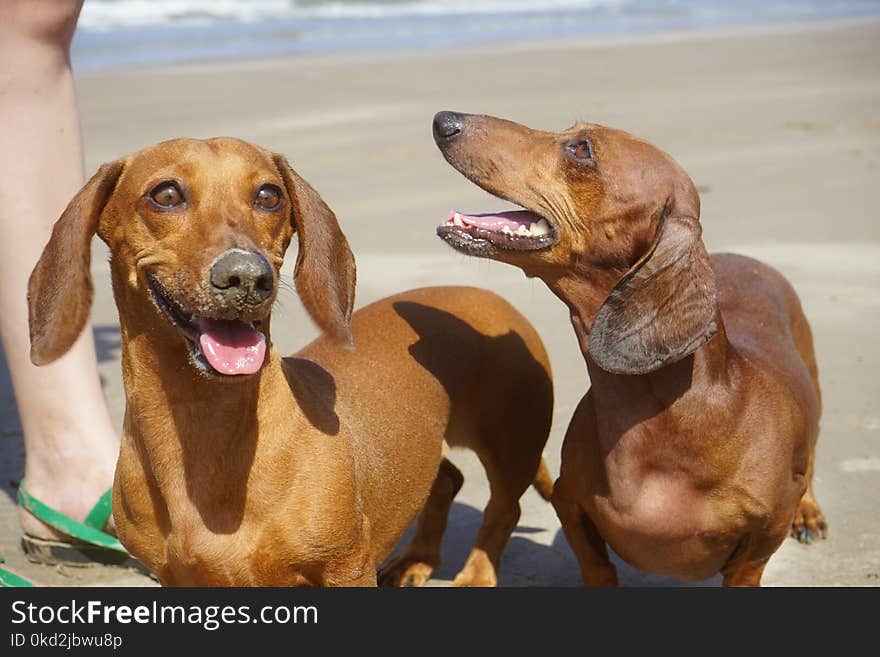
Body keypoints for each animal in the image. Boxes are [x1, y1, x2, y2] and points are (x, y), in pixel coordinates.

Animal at [27, 137, 552, 584]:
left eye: (268, 195)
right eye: (166, 194)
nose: (245, 277)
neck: (204, 435)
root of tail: (487, 295)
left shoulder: (346, 568)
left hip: (510, 447)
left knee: (505, 508)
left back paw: (475, 575)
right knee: (447, 480)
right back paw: (418, 559)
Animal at [436, 111, 828, 584]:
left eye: (582, 149)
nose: (444, 120)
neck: (670, 421)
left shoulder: (765, 534)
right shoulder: (568, 502)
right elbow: (597, 565)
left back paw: (810, 512)